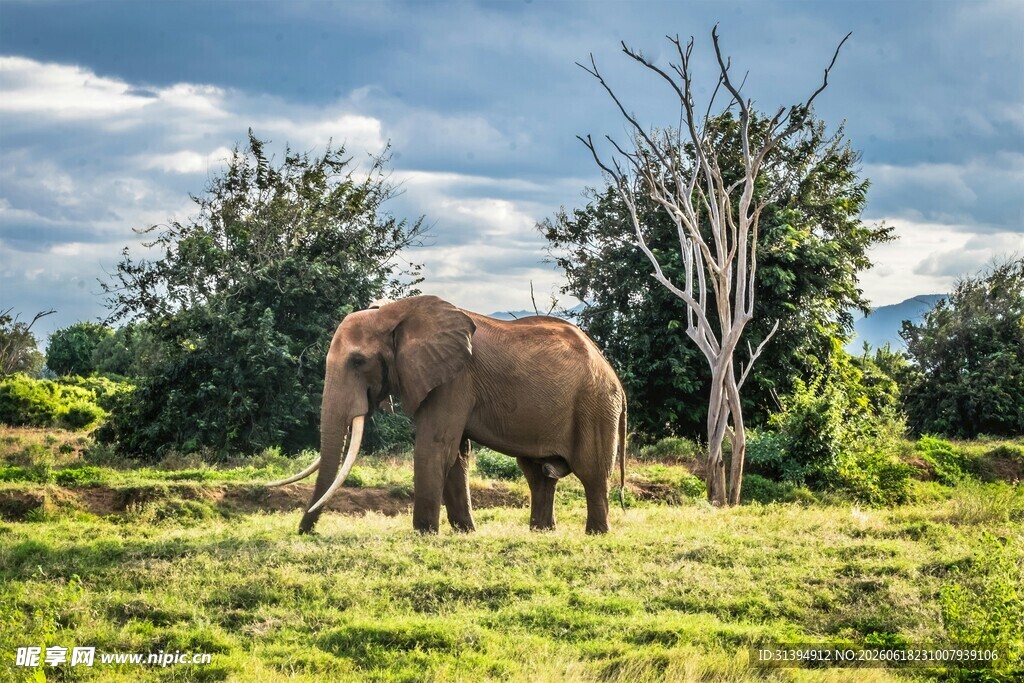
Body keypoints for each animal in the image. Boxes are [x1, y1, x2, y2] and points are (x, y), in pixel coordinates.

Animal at [268, 295, 627, 535]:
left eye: (358, 361)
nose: (305, 532)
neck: (396, 313)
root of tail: (612, 373)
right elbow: (455, 455)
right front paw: (465, 533)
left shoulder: (455, 379)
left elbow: (436, 445)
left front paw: (424, 534)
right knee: (538, 474)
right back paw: (541, 532)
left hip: (595, 405)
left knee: (592, 472)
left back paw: (596, 534)